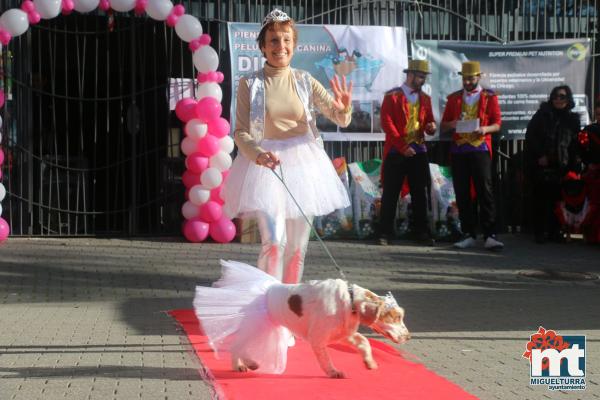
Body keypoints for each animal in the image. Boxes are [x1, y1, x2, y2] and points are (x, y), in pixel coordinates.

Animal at [233, 278, 408, 378]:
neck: (349, 300)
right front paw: (333, 372)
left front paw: (369, 362)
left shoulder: (343, 332)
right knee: (236, 346)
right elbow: (326, 359)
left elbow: (364, 341)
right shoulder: (318, 338)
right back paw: (242, 365)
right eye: (396, 317)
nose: (408, 337)